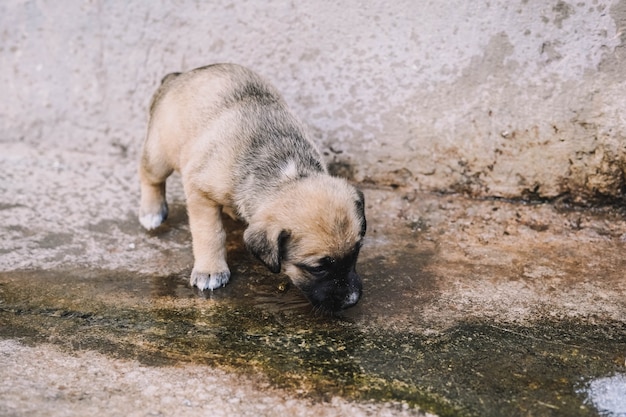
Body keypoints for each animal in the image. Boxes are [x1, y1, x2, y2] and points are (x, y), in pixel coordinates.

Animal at [139, 63, 364, 310]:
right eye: (318, 268)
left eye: (356, 253)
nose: (352, 300)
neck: (285, 174)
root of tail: (177, 77)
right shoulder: (201, 194)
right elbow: (210, 234)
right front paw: (210, 270)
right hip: (160, 155)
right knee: (150, 177)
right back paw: (151, 212)